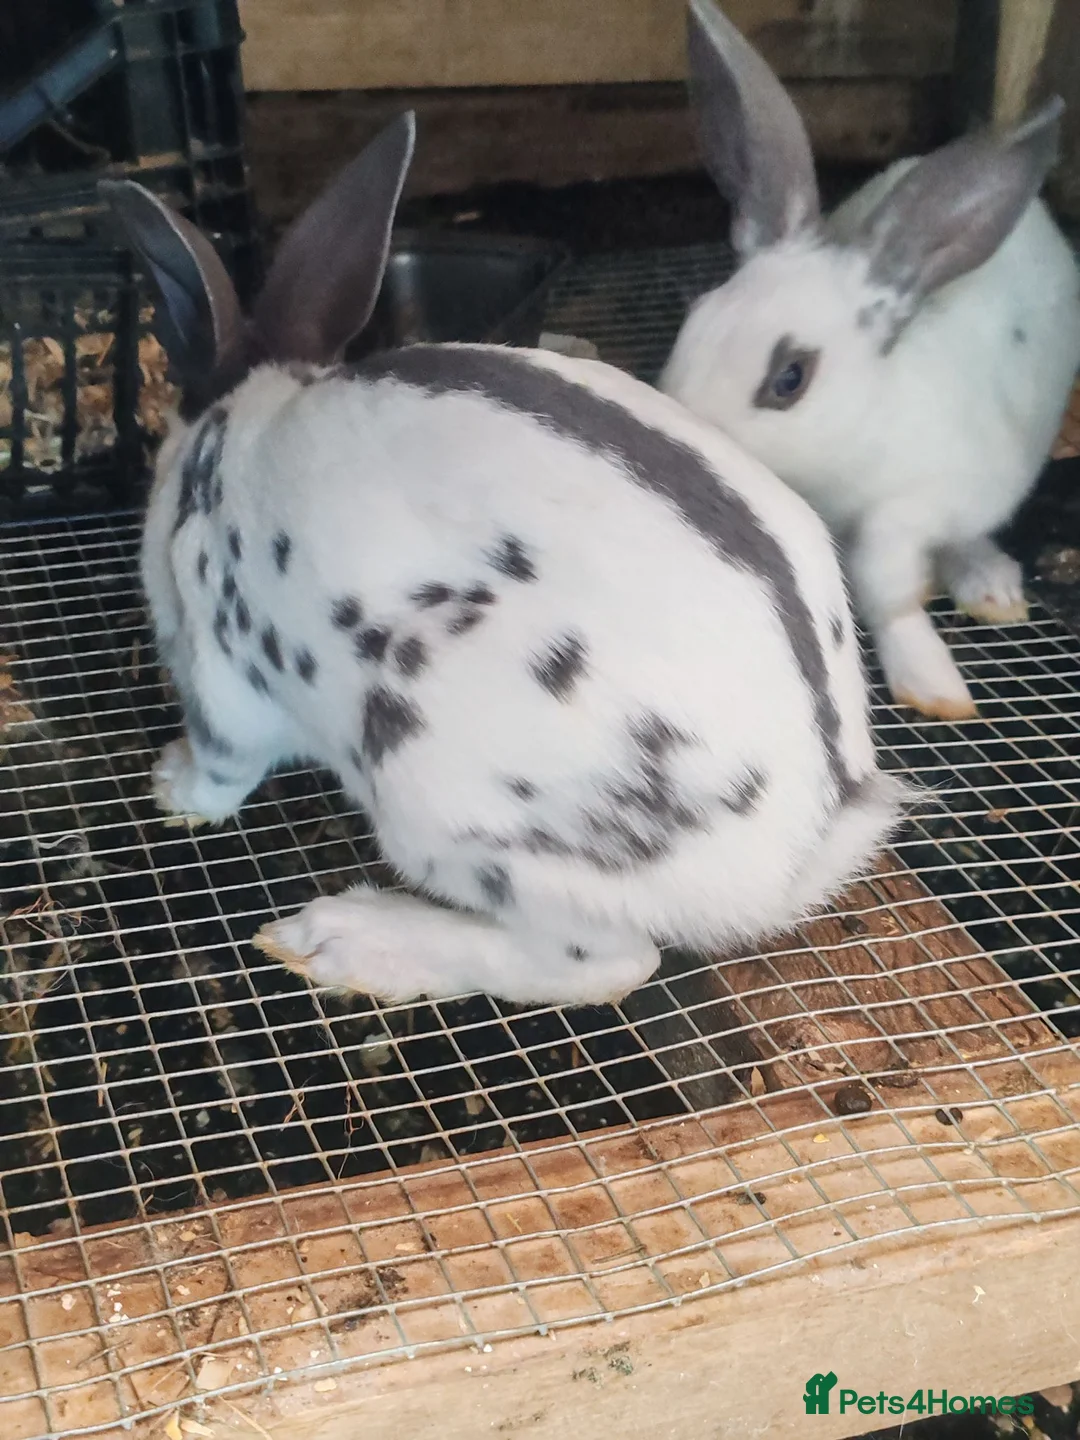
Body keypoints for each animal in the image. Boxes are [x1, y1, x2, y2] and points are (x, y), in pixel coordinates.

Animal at [101, 112, 907, 1009]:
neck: (241, 426)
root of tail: (806, 842)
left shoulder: (224, 686)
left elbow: (222, 765)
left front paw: (170, 785)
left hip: (435, 790)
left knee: (610, 961)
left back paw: (347, 940)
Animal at [660, 0, 1080, 721]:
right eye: (695, 320)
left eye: (790, 378)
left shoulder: (912, 507)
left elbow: (888, 590)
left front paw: (934, 689)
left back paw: (991, 588)